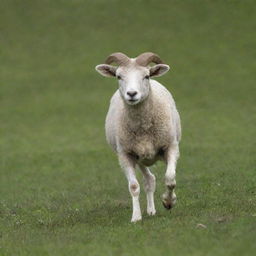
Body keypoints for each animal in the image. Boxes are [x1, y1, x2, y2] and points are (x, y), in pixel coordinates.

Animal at [95, 52, 181, 222]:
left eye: (146, 76)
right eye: (118, 76)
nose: (132, 94)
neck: (143, 129)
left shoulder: (171, 146)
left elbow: (170, 178)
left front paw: (168, 202)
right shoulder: (125, 155)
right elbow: (134, 186)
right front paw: (136, 217)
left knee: (153, 179)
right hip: (140, 158)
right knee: (150, 180)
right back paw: (151, 210)